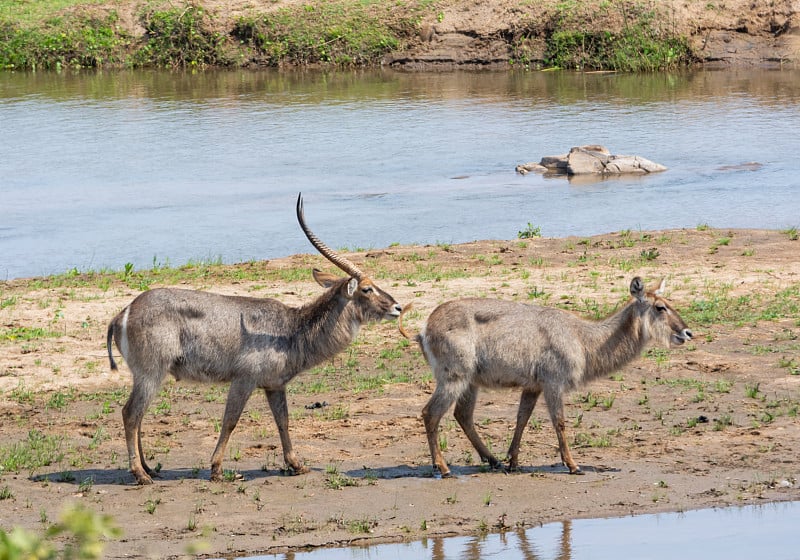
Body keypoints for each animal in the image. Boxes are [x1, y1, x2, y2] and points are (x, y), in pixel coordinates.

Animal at [108, 192, 400, 482]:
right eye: (367, 288)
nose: (397, 307)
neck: (291, 328)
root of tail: (124, 312)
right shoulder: (244, 379)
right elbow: (230, 420)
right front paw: (216, 468)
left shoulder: (275, 385)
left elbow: (283, 421)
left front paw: (297, 464)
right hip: (151, 372)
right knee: (130, 414)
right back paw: (140, 474)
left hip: (149, 375)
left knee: (139, 415)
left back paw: (148, 468)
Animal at [410, 276, 692, 476]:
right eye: (660, 307)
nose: (687, 332)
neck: (582, 338)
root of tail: (424, 328)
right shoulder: (553, 383)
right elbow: (560, 422)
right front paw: (573, 464)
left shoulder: (533, 386)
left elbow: (522, 418)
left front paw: (513, 461)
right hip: (454, 377)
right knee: (430, 413)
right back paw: (442, 467)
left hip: (470, 381)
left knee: (462, 415)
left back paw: (493, 461)